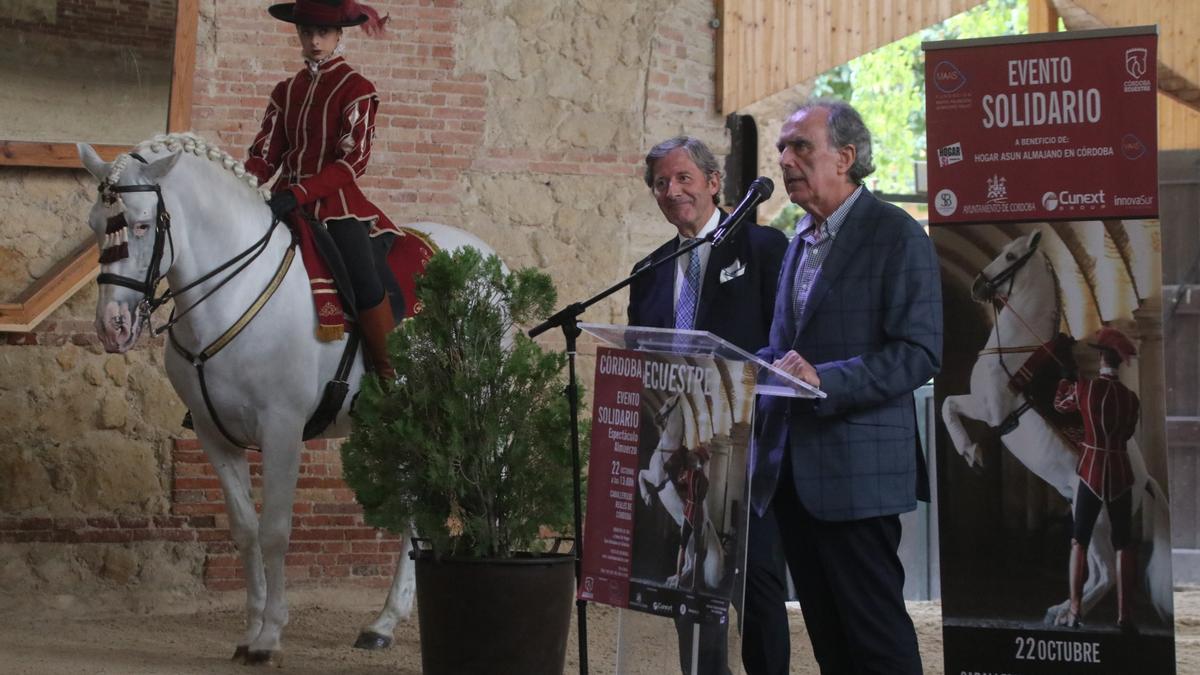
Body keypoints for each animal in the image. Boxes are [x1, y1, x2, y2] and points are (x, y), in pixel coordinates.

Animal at [76, 132, 496, 662]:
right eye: (95, 225)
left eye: (142, 224)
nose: (112, 326)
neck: (232, 293)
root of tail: (487, 255)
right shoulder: (215, 436)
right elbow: (245, 530)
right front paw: (251, 628)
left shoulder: (282, 429)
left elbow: (275, 531)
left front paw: (270, 635)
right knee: (413, 505)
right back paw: (384, 622)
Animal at [940, 229, 1166, 624]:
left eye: (1010, 256)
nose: (977, 286)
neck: (1014, 352)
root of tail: (1145, 480)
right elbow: (947, 403)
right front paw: (973, 453)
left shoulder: (989, 408)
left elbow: (947, 405)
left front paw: (972, 453)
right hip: (1081, 513)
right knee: (1094, 569)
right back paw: (1064, 608)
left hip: (1098, 518)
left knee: (1106, 573)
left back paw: (1068, 614)